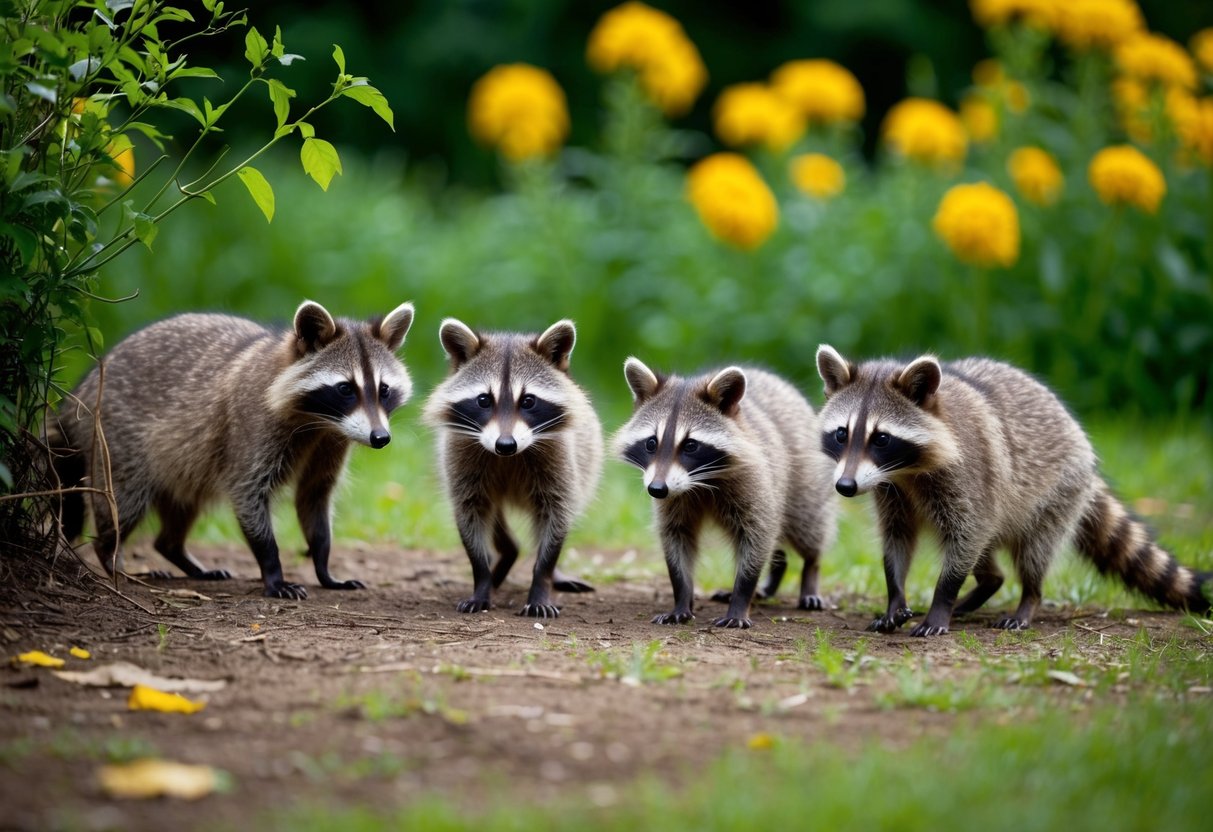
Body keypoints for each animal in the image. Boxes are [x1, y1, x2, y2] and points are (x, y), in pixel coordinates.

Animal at [47, 300, 415, 600]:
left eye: (383, 390)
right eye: (345, 389)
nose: (381, 438)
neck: (319, 422)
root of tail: (81, 394)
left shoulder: (329, 444)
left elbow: (313, 496)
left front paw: (323, 564)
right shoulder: (252, 428)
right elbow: (248, 493)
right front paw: (272, 569)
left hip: (181, 463)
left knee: (180, 509)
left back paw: (177, 551)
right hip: (115, 439)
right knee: (123, 500)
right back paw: (111, 556)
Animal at [422, 318, 603, 618]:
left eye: (528, 401)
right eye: (484, 400)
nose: (505, 444)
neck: (508, 457)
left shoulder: (560, 464)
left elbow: (556, 518)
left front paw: (542, 581)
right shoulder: (461, 461)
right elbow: (470, 515)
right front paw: (481, 581)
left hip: (586, 460)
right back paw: (506, 556)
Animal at [614, 359, 837, 629]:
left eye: (691, 445)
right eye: (651, 443)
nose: (657, 489)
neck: (699, 482)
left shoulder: (754, 482)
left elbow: (757, 537)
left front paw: (740, 600)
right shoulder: (673, 500)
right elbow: (676, 538)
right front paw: (681, 599)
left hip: (804, 480)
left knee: (809, 528)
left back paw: (810, 575)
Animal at [815, 345, 1213, 636]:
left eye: (881, 438)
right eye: (842, 434)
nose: (845, 486)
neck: (906, 472)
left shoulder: (969, 477)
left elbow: (965, 539)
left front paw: (942, 601)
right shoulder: (891, 492)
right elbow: (898, 540)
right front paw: (895, 597)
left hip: (1057, 492)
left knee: (1032, 552)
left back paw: (1028, 599)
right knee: (987, 555)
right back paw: (987, 584)